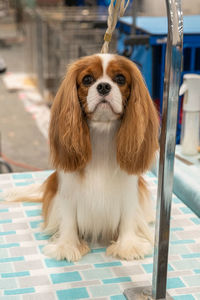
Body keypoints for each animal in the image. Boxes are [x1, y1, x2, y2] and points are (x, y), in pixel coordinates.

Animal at [6, 55, 159, 262]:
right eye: (87, 80)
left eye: (120, 79)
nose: (104, 87)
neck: (102, 133)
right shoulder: (69, 192)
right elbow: (69, 219)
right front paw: (67, 246)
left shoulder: (127, 191)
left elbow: (128, 217)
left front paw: (128, 246)